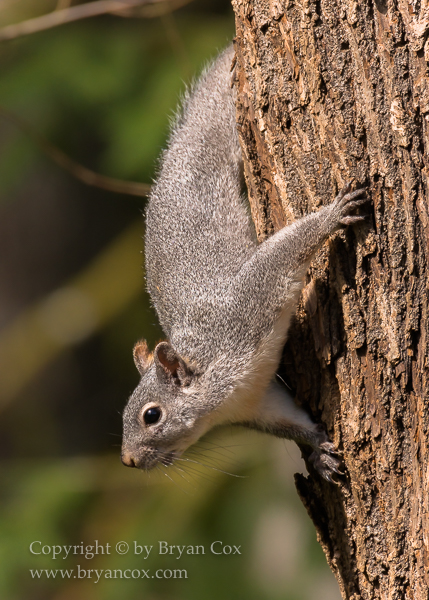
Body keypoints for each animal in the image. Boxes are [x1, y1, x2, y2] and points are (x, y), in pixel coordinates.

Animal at [121, 43, 368, 482]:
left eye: (152, 415)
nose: (127, 459)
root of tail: (174, 161)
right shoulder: (259, 401)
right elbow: (292, 422)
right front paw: (320, 451)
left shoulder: (246, 308)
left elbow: (279, 256)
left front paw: (330, 216)